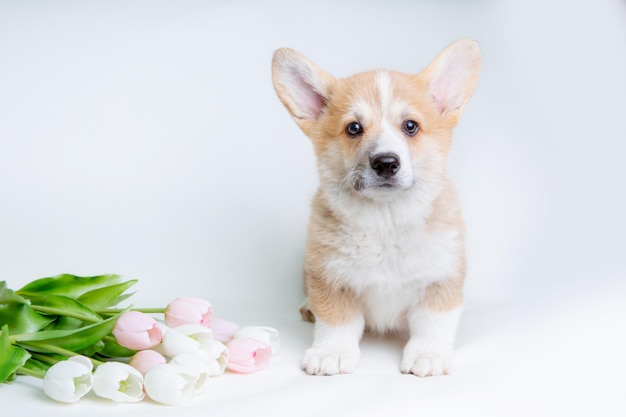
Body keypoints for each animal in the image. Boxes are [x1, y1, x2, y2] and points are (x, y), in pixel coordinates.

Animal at [270, 39, 480, 376]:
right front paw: (331, 353)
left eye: (411, 126)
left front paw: (428, 355)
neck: (386, 218)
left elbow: (433, 323)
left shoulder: (441, 276)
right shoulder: (329, 277)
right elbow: (335, 321)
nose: (386, 163)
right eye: (354, 128)